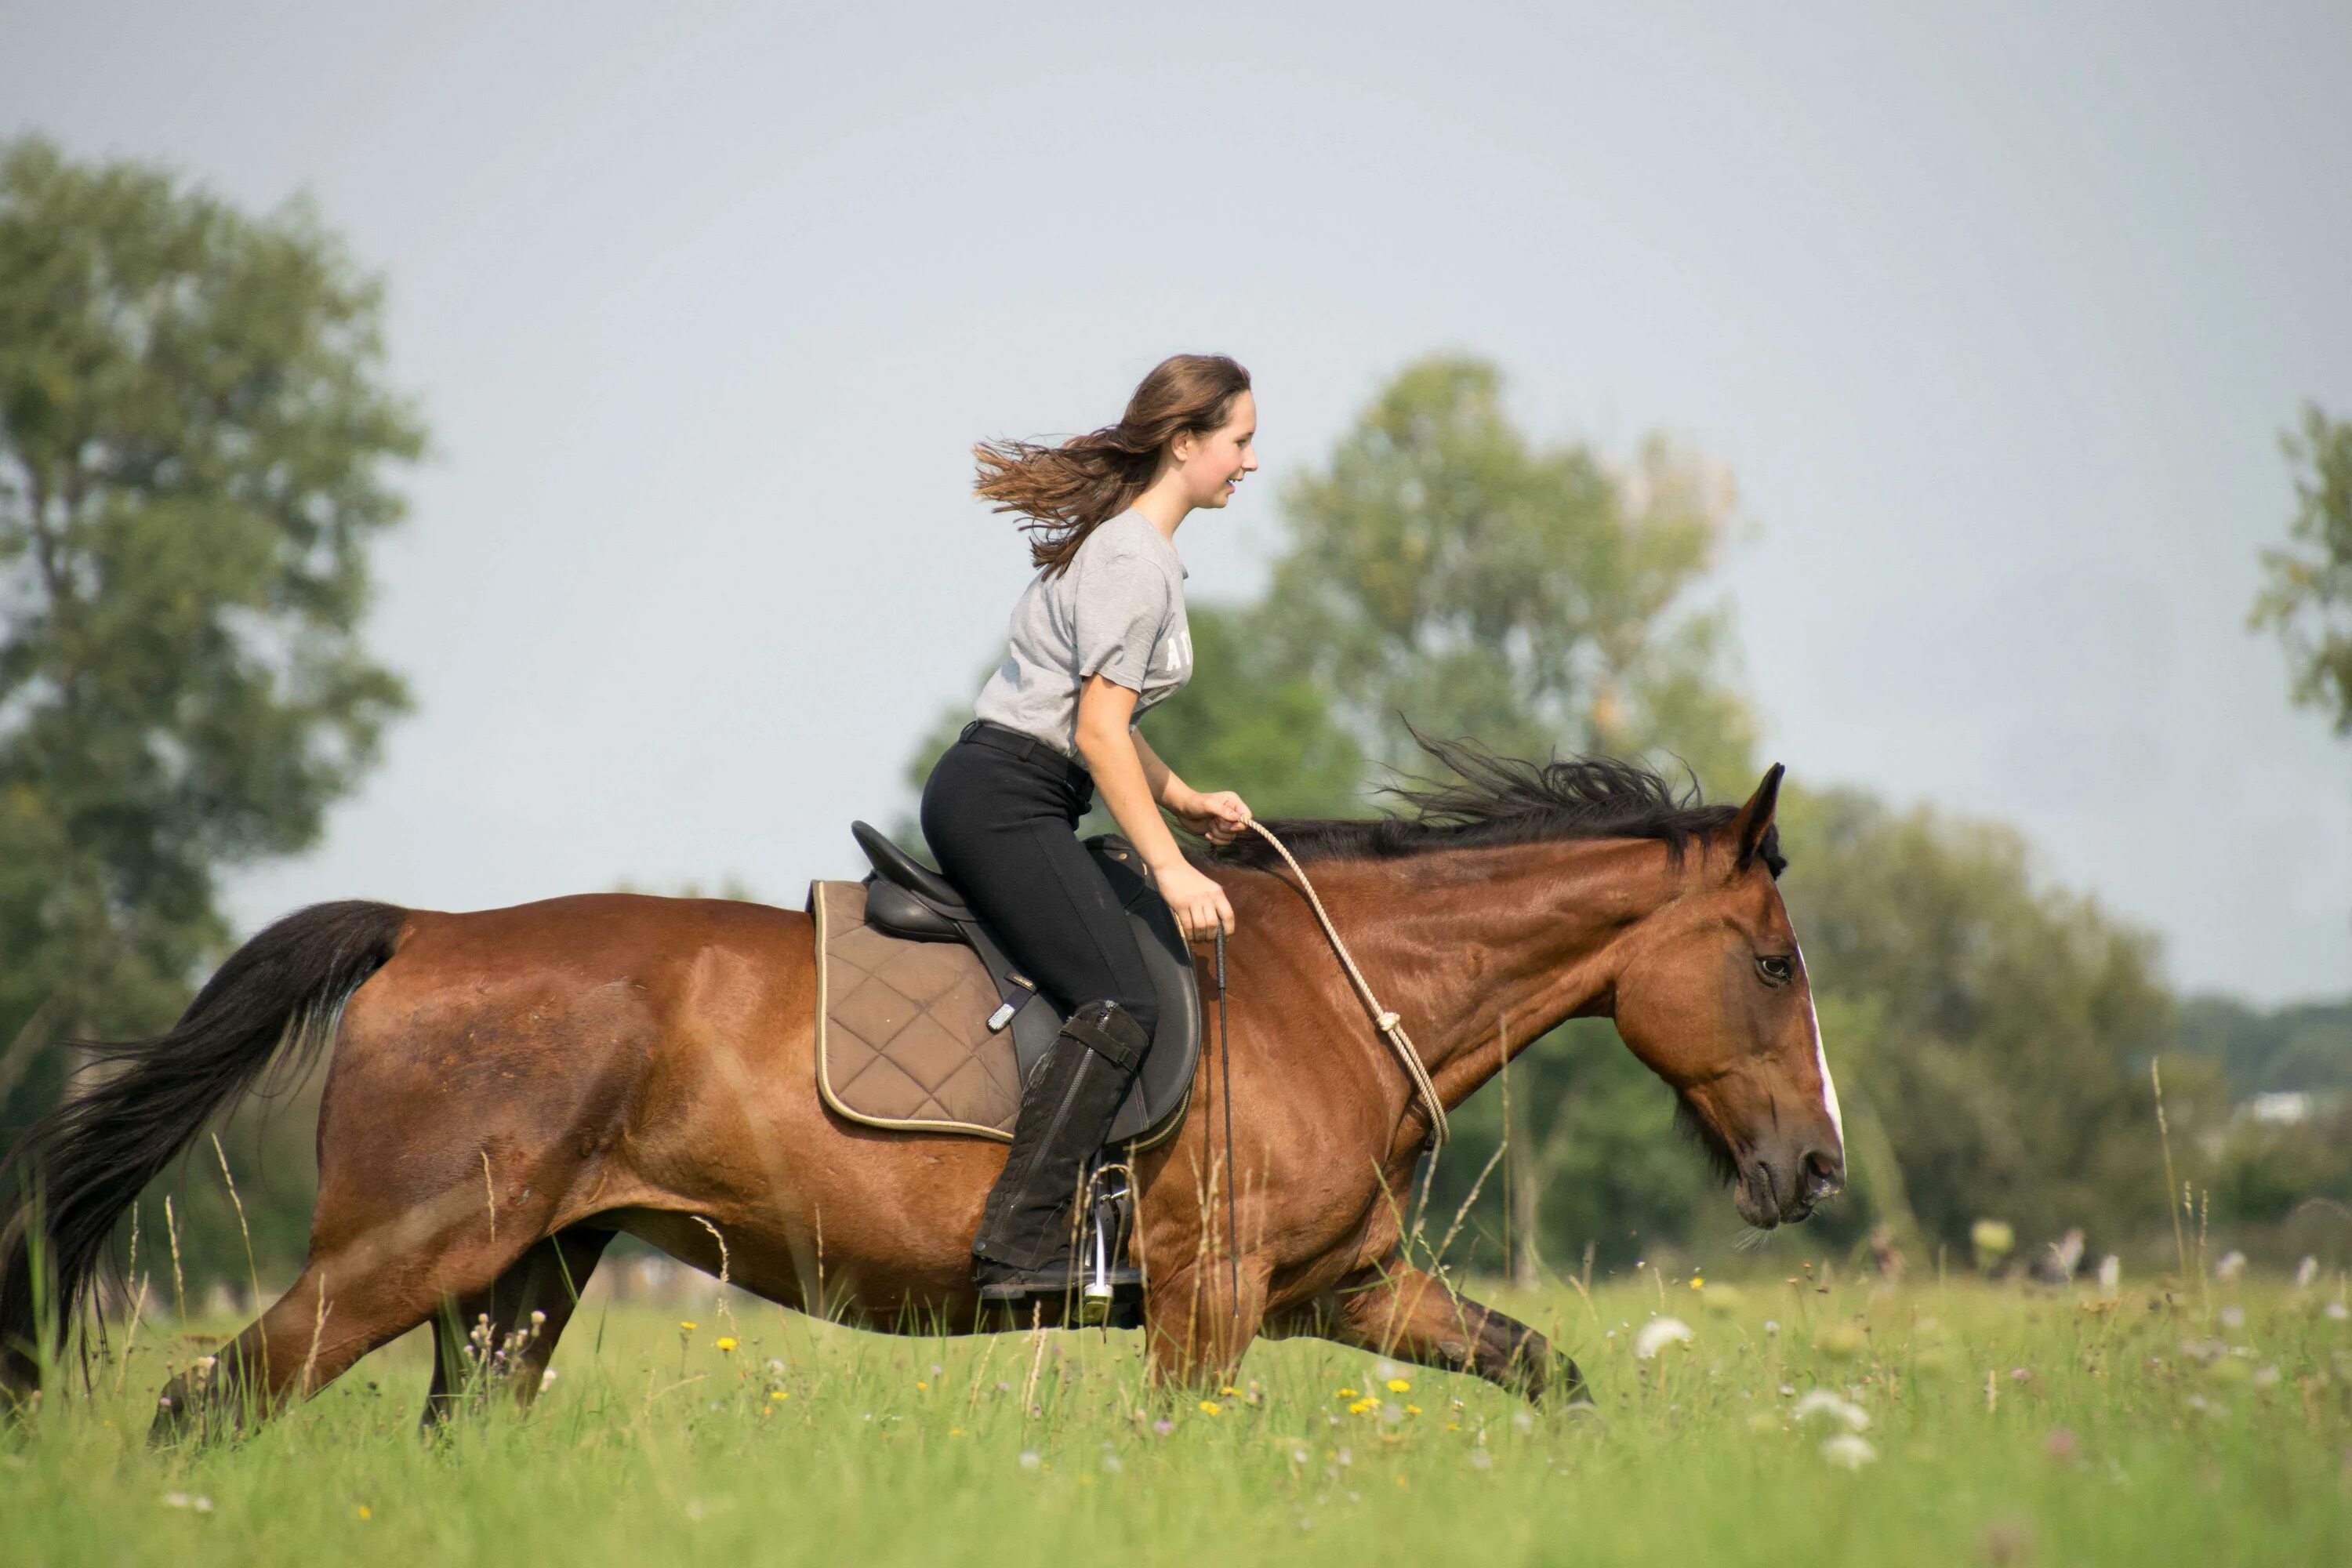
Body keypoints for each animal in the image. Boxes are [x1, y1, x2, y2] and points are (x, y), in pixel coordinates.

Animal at [0, 742, 1844, 1439]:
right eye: (1774, 963)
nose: (1817, 1174)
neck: (1334, 994)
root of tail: (427, 933)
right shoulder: (1210, 1295)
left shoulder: (1347, 1289)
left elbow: (1549, 1369)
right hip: (400, 1255)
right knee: (206, 1402)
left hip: (525, 1279)